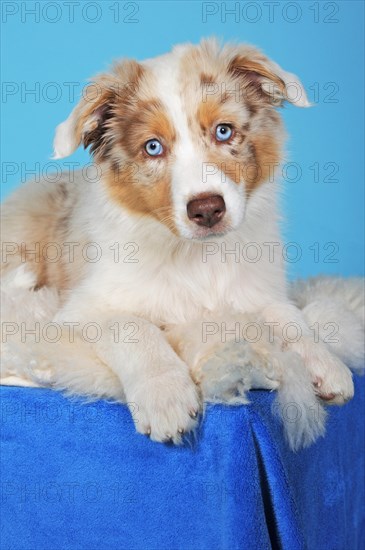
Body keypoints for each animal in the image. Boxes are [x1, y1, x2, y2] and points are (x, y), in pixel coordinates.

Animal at [1, 40, 362, 452]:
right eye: (153, 147)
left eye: (223, 131)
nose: (207, 210)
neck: (195, 256)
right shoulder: (81, 310)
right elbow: (133, 326)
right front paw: (166, 397)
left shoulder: (258, 290)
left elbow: (289, 318)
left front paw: (326, 363)